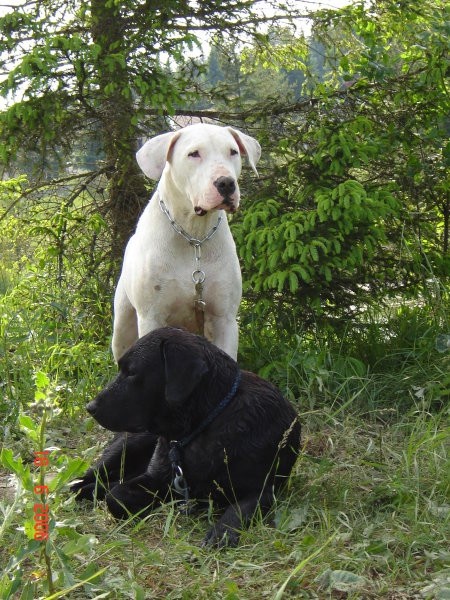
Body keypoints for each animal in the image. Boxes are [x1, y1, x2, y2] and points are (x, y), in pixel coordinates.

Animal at [72, 326, 300, 548]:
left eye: (132, 372)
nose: (90, 407)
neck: (206, 422)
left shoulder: (262, 491)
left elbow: (238, 510)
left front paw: (222, 533)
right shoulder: (157, 478)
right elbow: (116, 496)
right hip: (127, 447)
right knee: (88, 477)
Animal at [110, 123, 262, 360]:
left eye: (233, 152)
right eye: (194, 154)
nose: (226, 183)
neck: (194, 236)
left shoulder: (223, 319)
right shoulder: (152, 316)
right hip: (122, 325)